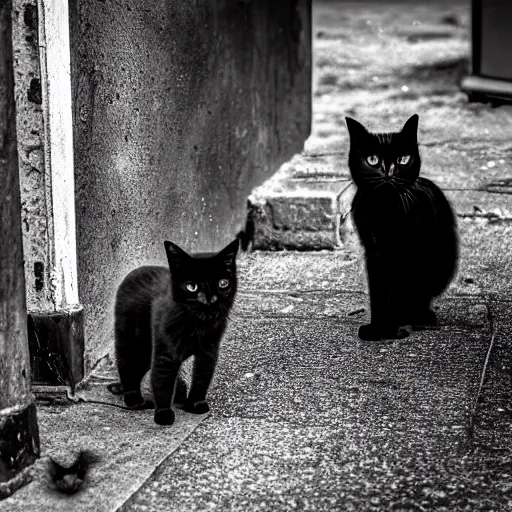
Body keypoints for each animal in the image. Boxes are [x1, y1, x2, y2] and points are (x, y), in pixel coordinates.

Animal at [114, 239, 238, 424]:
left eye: (223, 283)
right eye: (192, 286)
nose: (209, 299)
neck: (197, 325)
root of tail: (137, 270)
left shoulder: (209, 350)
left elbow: (202, 376)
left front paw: (196, 404)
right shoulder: (166, 352)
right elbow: (162, 378)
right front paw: (164, 414)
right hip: (132, 338)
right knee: (127, 364)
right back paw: (134, 399)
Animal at [346, 115, 458, 340]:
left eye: (403, 160)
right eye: (373, 160)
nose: (389, 171)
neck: (383, 210)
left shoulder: (405, 254)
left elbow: (396, 294)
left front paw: (388, 329)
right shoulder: (374, 252)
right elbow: (379, 293)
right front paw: (376, 329)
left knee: (419, 295)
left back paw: (417, 316)